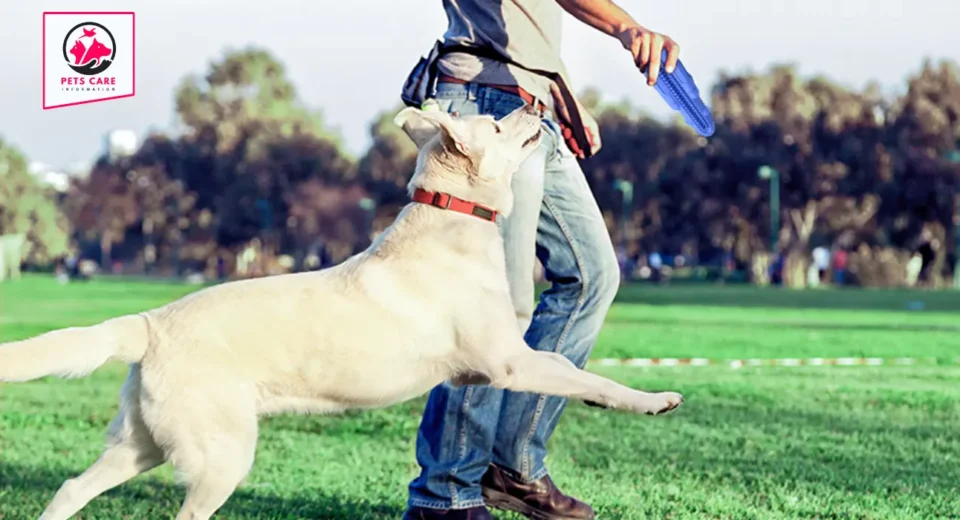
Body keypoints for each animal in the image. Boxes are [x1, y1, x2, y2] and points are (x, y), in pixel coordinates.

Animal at [0, 103, 684, 516]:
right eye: (493, 123)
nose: (535, 104)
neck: (452, 219)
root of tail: (149, 323)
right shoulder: (509, 363)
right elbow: (587, 377)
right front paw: (653, 400)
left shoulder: (500, 364)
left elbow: (570, 377)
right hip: (220, 456)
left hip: (141, 443)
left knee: (72, 486)